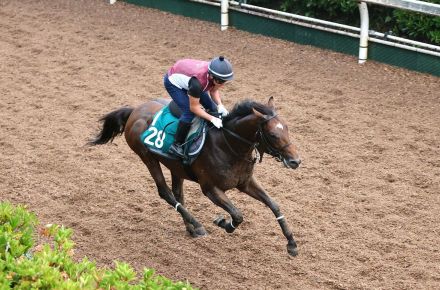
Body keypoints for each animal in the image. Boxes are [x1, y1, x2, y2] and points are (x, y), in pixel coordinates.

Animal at [89, 97, 302, 256]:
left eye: (287, 128)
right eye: (273, 135)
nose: (295, 161)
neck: (228, 145)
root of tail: (135, 110)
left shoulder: (246, 182)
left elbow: (274, 205)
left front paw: (291, 243)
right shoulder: (211, 189)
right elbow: (238, 215)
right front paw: (223, 223)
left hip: (175, 167)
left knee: (177, 194)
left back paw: (191, 228)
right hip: (147, 157)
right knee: (165, 193)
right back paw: (197, 225)